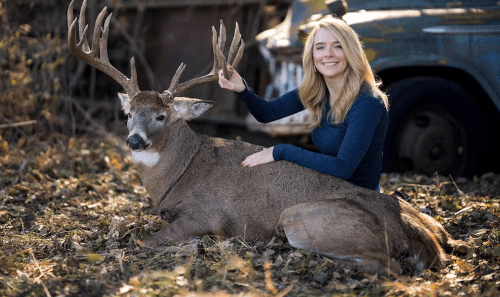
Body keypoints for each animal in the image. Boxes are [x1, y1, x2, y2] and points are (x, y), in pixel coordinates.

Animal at [67, 0, 468, 272]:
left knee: (384, 265)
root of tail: (427, 237)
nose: (135, 140)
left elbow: (145, 241)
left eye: (161, 116)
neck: (179, 173)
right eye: (129, 114)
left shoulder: (207, 215)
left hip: (299, 217)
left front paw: (190, 247)